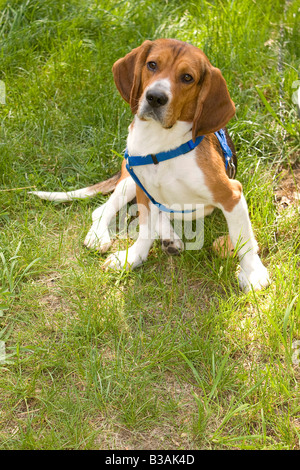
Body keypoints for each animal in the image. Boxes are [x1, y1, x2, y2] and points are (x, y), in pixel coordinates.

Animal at [32, 38, 270, 292]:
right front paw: (133, 257)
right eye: (152, 64)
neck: (160, 145)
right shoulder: (143, 190)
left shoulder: (231, 194)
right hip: (129, 180)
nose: (155, 97)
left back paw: (169, 237)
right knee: (103, 209)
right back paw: (101, 235)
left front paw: (253, 272)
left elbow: (244, 240)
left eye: (188, 77)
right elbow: (145, 230)